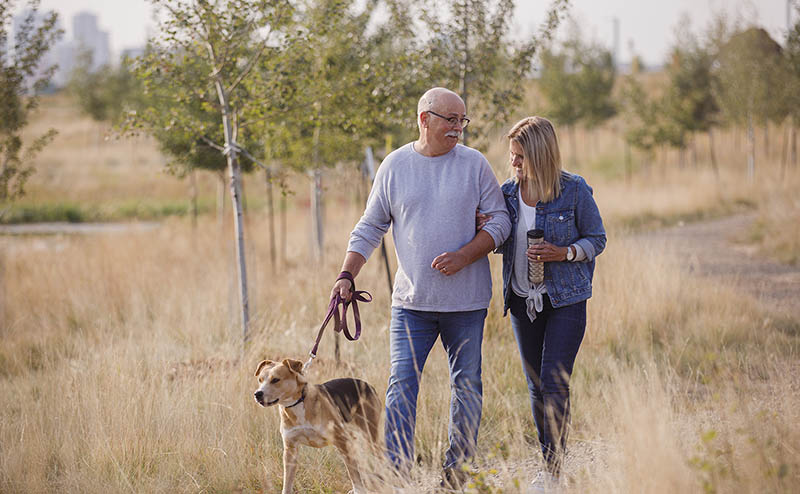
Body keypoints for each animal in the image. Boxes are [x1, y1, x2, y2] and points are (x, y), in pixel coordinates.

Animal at [255, 358, 382, 494]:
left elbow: (354, 475)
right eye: (260, 380)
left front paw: (359, 490)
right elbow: (287, 482)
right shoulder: (290, 450)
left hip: (370, 436)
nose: (257, 394)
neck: (298, 403)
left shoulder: (341, 442)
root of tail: (367, 385)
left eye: (275, 380)